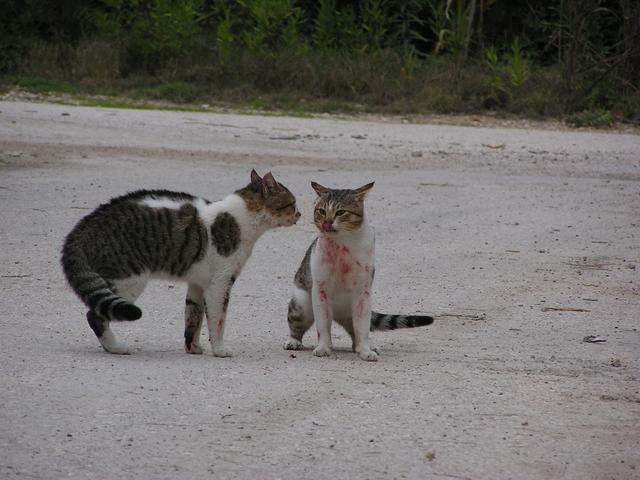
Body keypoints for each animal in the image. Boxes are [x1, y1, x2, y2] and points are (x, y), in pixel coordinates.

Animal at [62, 171, 300, 354]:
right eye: (292, 203)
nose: (300, 213)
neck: (242, 220)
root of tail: (86, 224)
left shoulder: (197, 285)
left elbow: (193, 320)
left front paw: (193, 348)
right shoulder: (220, 284)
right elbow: (217, 321)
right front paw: (219, 350)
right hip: (129, 280)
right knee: (94, 316)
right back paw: (115, 347)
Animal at [284, 180, 436, 360]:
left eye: (340, 212)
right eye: (321, 211)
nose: (326, 223)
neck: (343, 243)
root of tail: (339, 314)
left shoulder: (363, 293)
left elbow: (362, 328)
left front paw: (365, 350)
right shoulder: (320, 291)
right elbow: (323, 326)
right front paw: (323, 347)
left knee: (356, 330)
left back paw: (364, 346)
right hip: (302, 303)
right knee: (297, 324)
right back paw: (294, 341)